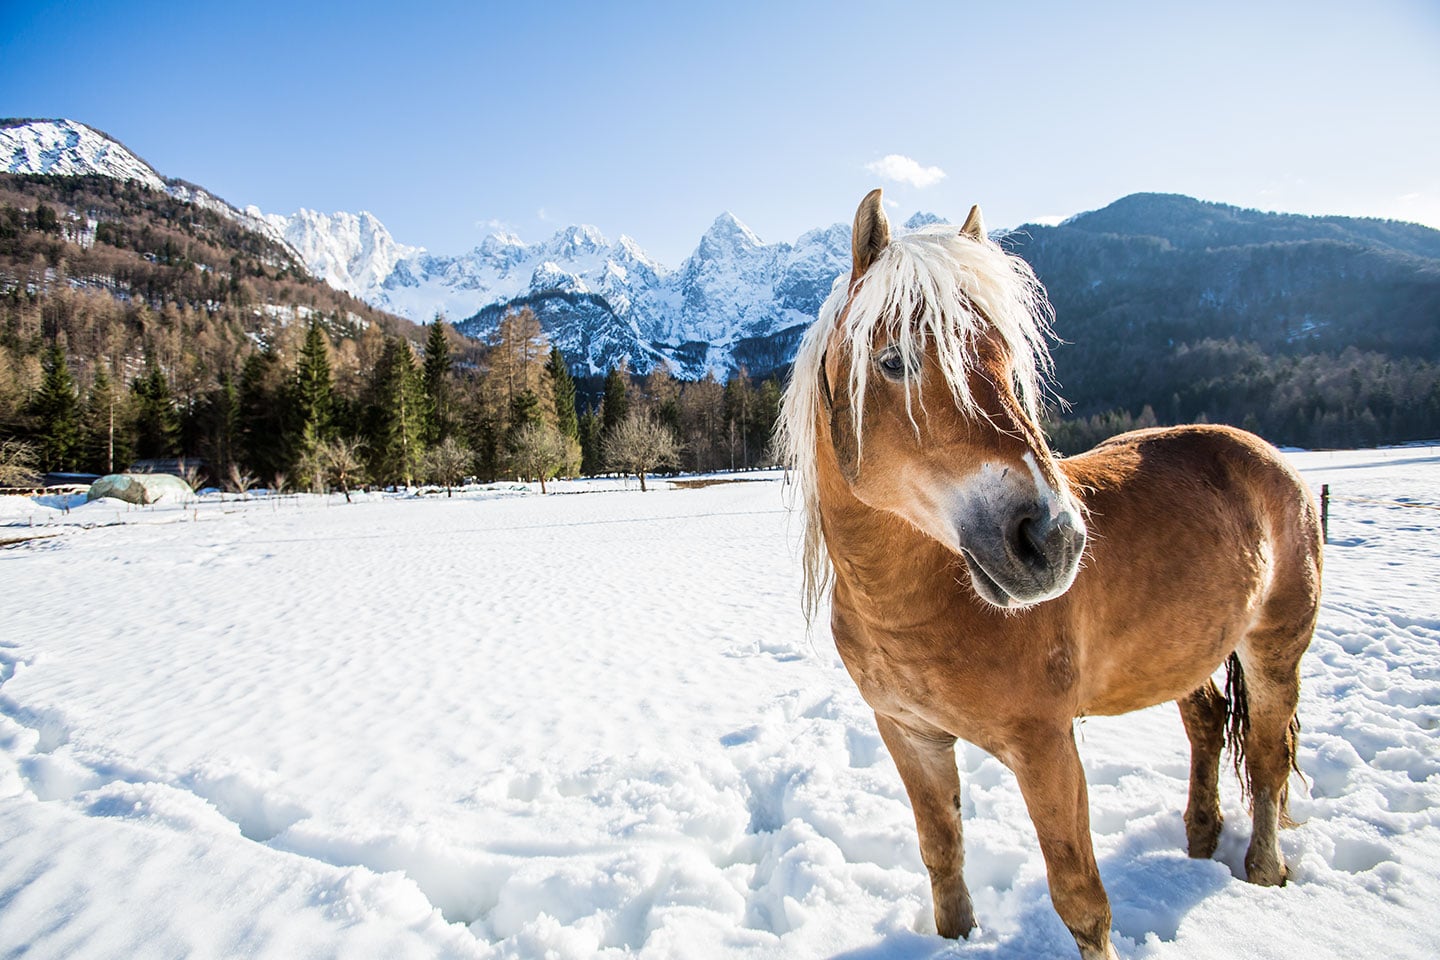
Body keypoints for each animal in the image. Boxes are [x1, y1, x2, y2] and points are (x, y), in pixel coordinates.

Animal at [778, 189, 1322, 960]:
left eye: (1008, 358)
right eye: (892, 360)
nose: (1053, 540)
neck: (913, 606)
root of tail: (1270, 458)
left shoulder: (1045, 746)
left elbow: (1081, 900)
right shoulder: (909, 735)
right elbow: (942, 856)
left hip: (1276, 649)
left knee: (1271, 757)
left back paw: (1263, 870)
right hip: (1186, 653)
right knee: (1209, 724)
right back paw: (1199, 840)